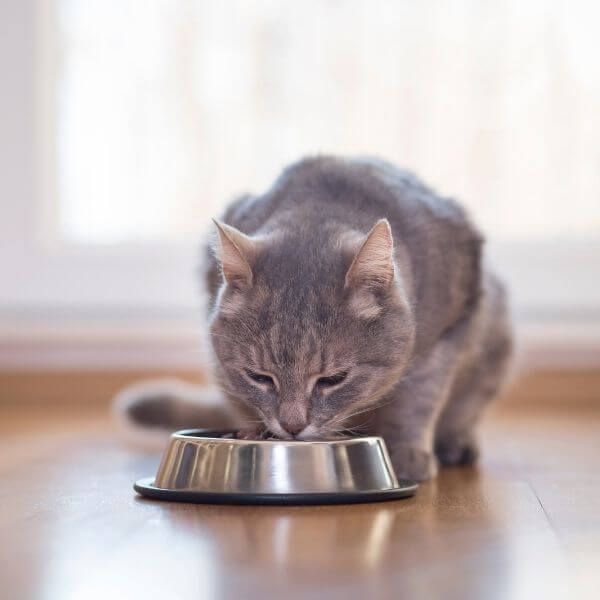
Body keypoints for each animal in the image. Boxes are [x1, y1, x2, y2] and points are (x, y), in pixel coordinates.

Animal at [117, 156, 510, 482]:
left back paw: (456, 442)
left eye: (333, 379)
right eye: (260, 377)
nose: (292, 426)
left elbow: (420, 397)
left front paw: (407, 454)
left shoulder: (449, 329)